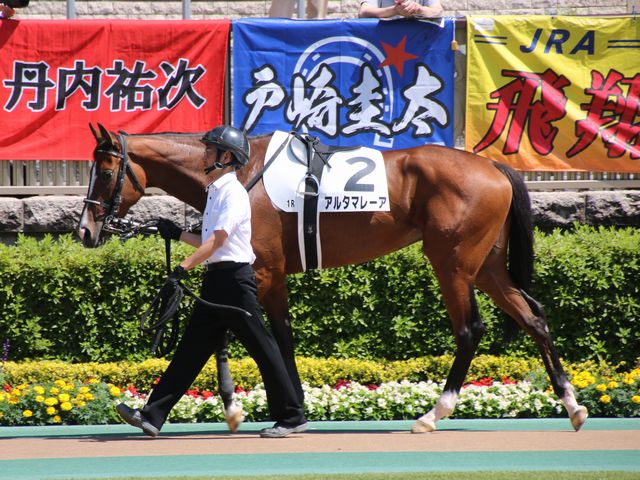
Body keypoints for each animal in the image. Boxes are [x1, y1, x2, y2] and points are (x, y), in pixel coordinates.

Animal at [77, 123, 588, 433]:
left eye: (105, 170)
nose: (84, 231)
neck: (241, 173)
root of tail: (494, 165)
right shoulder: (256, 271)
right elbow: (243, 332)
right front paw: (251, 408)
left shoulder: (263, 271)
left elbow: (258, 333)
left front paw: (273, 411)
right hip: (486, 265)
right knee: (534, 318)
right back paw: (573, 405)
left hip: (453, 262)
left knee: (469, 330)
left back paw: (433, 413)